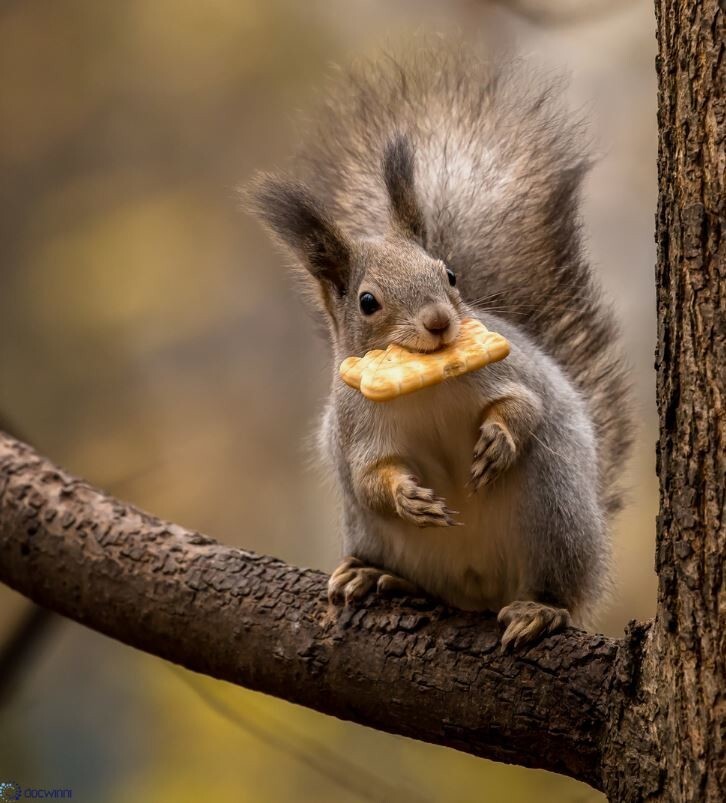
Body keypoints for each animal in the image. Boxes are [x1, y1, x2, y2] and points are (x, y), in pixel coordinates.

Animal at [247, 47, 636, 652]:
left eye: (448, 274)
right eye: (368, 301)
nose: (439, 322)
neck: (426, 381)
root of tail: (480, 592)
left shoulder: (512, 370)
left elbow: (527, 405)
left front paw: (499, 439)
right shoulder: (358, 426)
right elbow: (369, 476)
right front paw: (405, 496)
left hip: (555, 514)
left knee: (562, 592)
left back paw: (538, 610)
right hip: (382, 537)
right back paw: (376, 576)